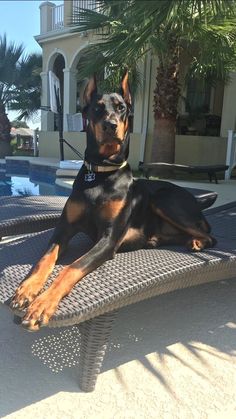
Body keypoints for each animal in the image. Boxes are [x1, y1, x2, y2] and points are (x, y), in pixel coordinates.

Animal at [10, 72, 217, 332]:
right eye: (97, 108)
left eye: (121, 108)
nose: (110, 125)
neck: (101, 173)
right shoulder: (63, 230)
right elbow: (44, 259)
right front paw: (27, 289)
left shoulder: (108, 239)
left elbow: (71, 267)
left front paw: (43, 303)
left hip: (163, 199)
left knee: (210, 236)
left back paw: (197, 242)